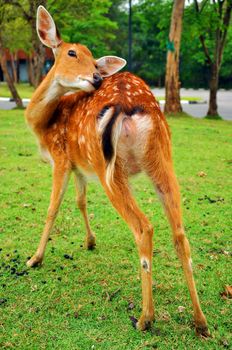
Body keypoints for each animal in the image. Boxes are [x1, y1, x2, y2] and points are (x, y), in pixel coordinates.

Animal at [24, 4, 209, 334]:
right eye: (72, 53)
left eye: (93, 58)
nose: (97, 77)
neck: (44, 126)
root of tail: (127, 105)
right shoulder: (80, 167)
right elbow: (80, 201)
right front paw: (90, 241)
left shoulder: (61, 159)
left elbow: (52, 208)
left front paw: (35, 259)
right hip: (161, 158)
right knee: (179, 233)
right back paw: (200, 321)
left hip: (109, 168)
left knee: (144, 227)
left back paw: (146, 318)